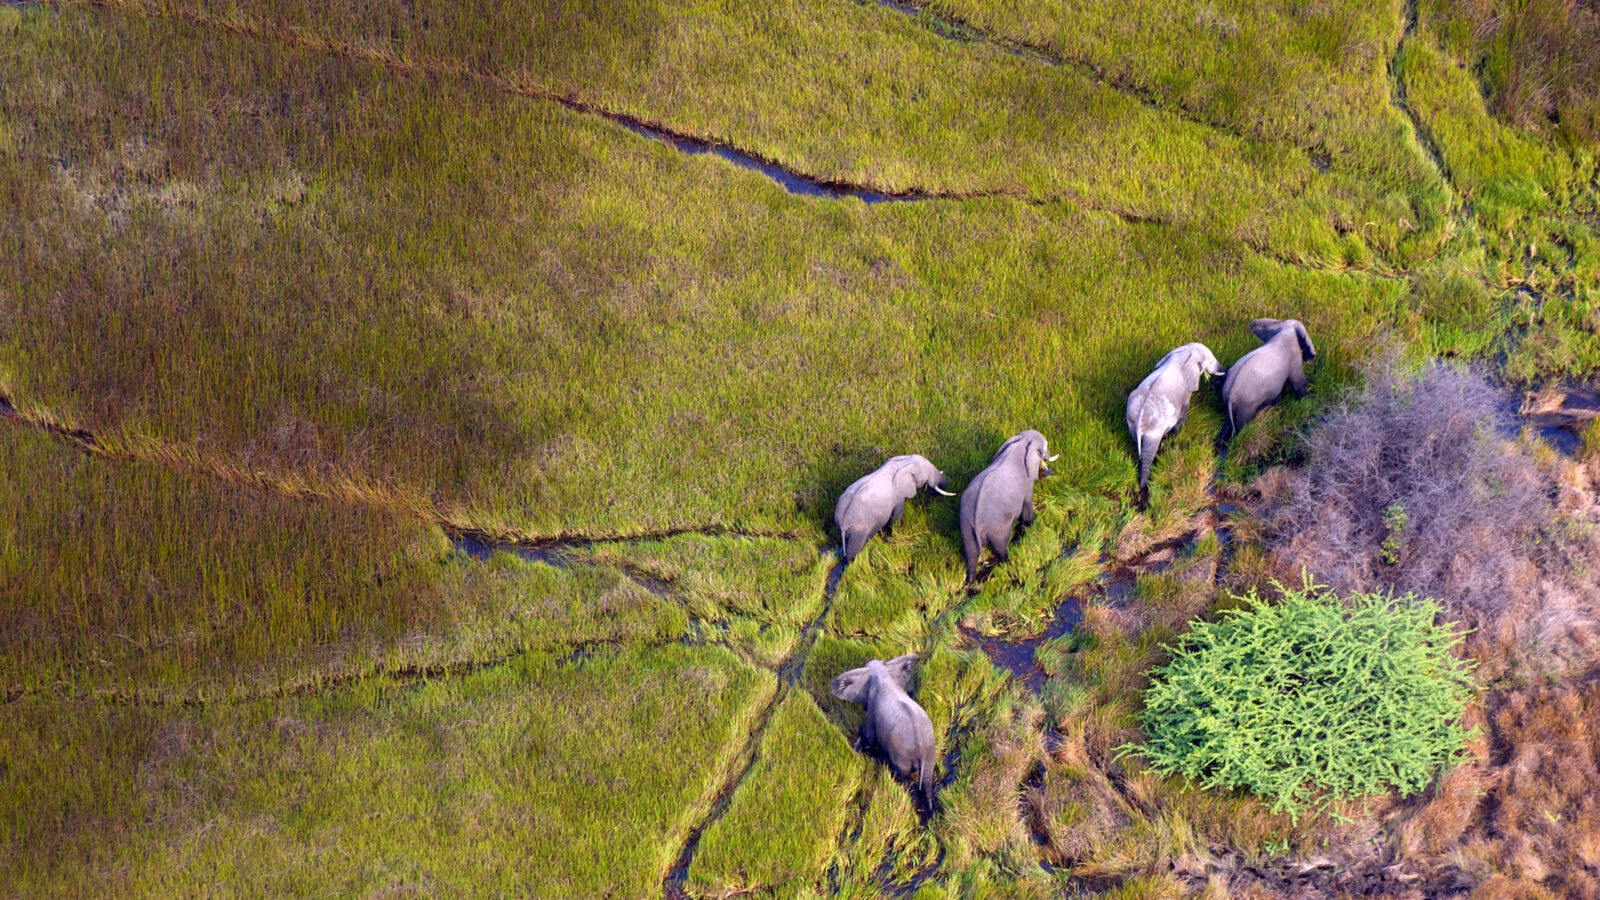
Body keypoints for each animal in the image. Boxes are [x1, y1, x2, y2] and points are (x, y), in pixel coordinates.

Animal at [830, 653, 936, 809]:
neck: (882, 673)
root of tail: (922, 749)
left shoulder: (872, 708)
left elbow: (870, 736)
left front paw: (860, 742)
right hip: (930, 754)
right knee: (928, 780)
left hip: (901, 755)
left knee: (904, 776)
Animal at [958, 430, 1057, 584]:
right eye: (1045, 447)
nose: (1051, 470)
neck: (1021, 442)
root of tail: (977, 519)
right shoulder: (1026, 483)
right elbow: (1027, 504)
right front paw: (1031, 523)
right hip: (997, 527)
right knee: (1000, 547)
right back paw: (1006, 561)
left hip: (966, 524)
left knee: (971, 553)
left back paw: (970, 581)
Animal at [1126, 343, 1225, 510]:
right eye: (1209, 360)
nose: (1224, 370)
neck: (1184, 353)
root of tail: (1139, 417)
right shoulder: (1186, 390)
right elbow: (1184, 410)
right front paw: (1177, 434)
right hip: (1154, 429)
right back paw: (1144, 486)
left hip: (1131, 422)